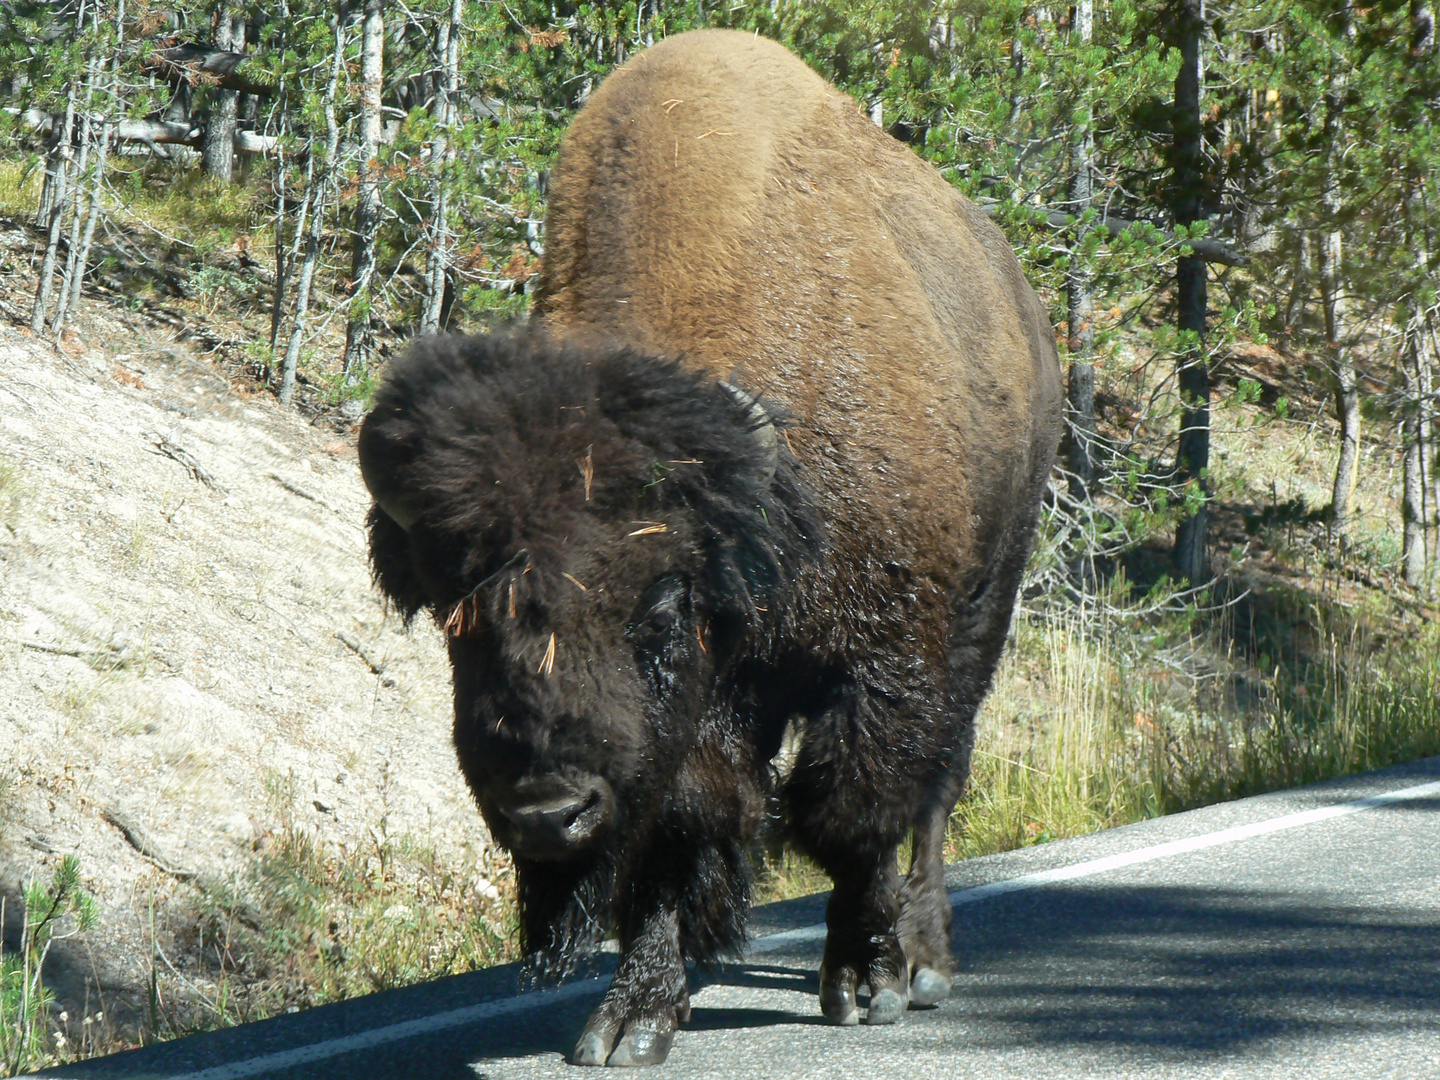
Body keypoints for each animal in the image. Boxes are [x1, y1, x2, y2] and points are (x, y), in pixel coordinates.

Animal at [360, 27, 1059, 1077]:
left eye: (657, 602)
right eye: (456, 615)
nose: (547, 811)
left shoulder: (884, 668)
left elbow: (848, 815)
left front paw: (867, 981)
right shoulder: (694, 720)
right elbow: (679, 830)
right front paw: (631, 1021)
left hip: (984, 612)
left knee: (936, 789)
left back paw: (925, 958)